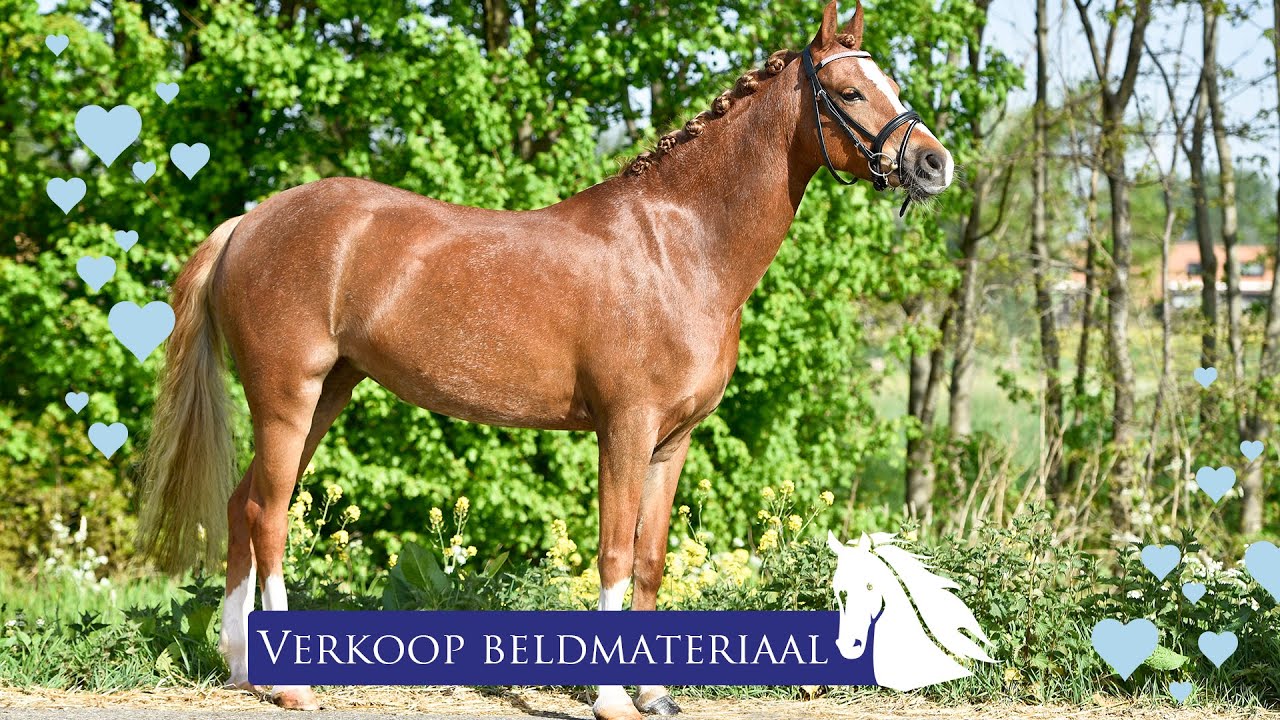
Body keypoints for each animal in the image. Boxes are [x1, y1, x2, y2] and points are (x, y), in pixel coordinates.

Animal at [137, 2, 954, 718]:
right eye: (849, 91)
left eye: (892, 85)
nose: (934, 163)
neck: (677, 246)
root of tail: (249, 222)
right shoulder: (624, 429)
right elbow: (614, 555)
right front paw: (612, 698)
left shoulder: (672, 441)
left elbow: (651, 559)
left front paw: (656, 693)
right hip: (288, 395)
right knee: (270, 516)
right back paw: (292, 684)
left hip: (326, 394)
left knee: (244, 507)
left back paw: (245, 666)